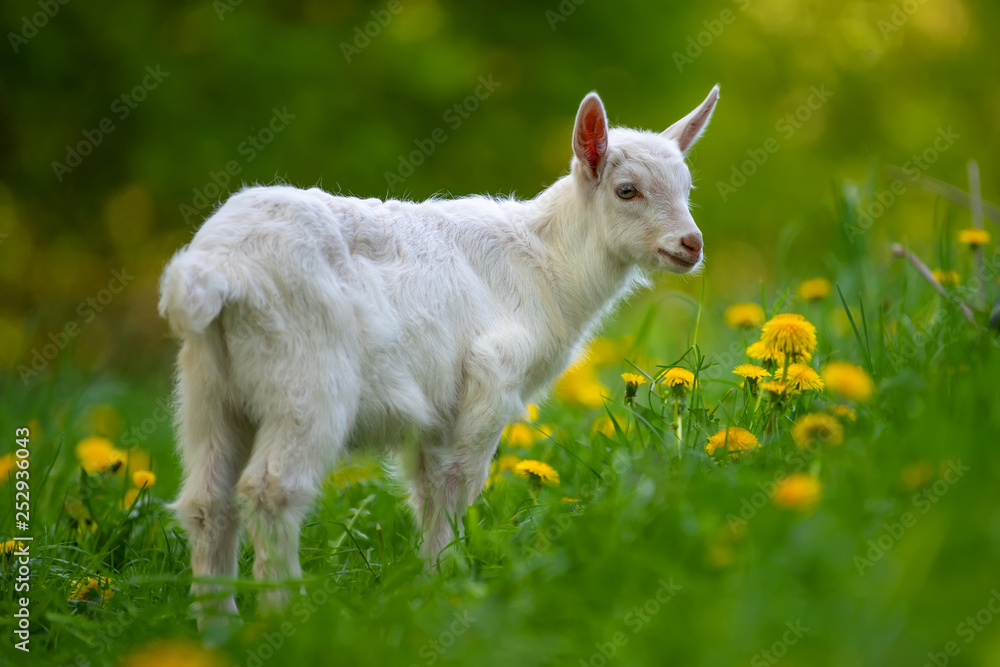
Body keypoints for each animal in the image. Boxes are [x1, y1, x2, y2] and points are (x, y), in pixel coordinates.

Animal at [158, 86, 719, 626]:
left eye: (688, 188)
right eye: (627, 190)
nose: (691, 244)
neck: (547, 263)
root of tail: (219, 268)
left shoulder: (437, 407)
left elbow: (428, 487)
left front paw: (426, 582)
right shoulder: (490, 376)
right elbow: (458, 483)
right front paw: (449, 582)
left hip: (208, 387)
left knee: (207, 502)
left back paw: (221, 627)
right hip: (307, 378)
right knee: (271, 490)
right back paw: (284, 619)